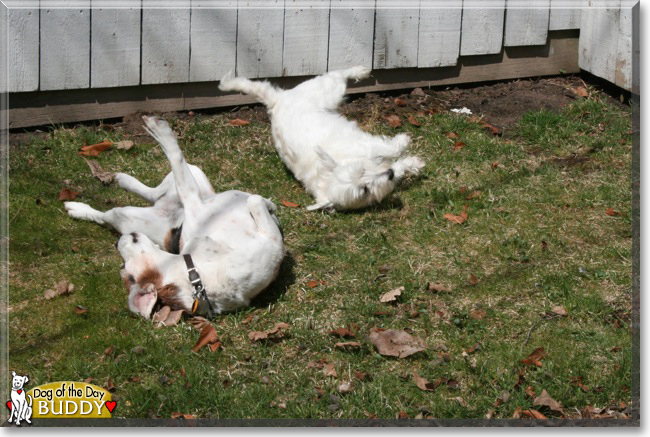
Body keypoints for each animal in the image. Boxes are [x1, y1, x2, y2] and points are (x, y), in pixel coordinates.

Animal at [65, 116, 284, 316]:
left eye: (125, 271)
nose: (117, 242)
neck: (196, 277)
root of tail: (162, 209)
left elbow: (255, 199)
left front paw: (271, 205)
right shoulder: (196, 207)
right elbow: (253, 199)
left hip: (193, 178)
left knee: (157, 190)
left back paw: (122, 180)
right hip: (130, 212)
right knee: (112, 211)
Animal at [218, 66, 426, 211]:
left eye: (362, 170)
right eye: (364, 191)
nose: (388, 174)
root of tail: (277, 101)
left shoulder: (368, 145)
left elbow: (391, 148)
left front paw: (404, 143)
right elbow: (396, 164)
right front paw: (411, 164)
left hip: (325, 92)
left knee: (337, 74)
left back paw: (360, 70)